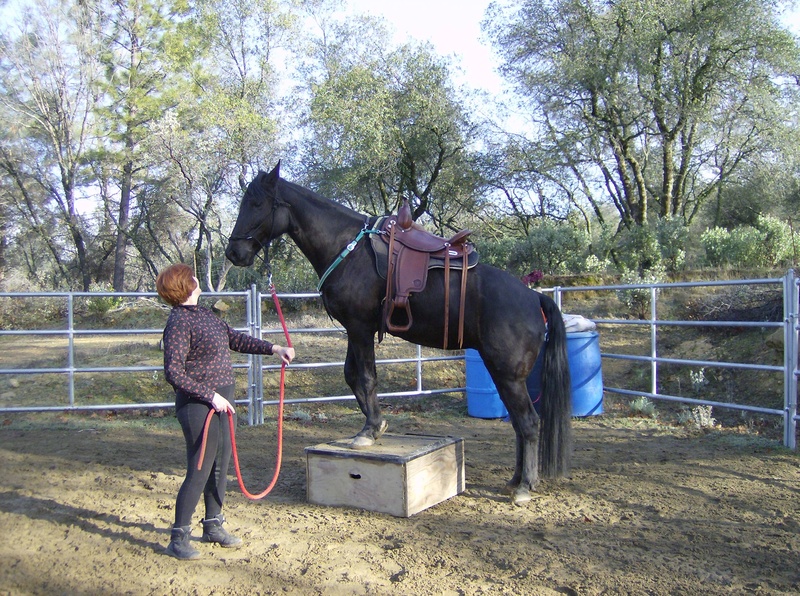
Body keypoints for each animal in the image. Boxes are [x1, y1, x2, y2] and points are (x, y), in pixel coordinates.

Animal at [225, 162, 572, 504]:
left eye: (256, 203)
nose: (233, 253)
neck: (347, 248)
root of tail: (533, 297)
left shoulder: (360, 327)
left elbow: (366, 377)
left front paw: (369, 431)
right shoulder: (356, 329)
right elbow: (352, 376)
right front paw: (376, 425)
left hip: (508, 374)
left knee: (529, 422)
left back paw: (525, 486)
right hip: (504, 374)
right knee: (519, 424)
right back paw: (515, 481)